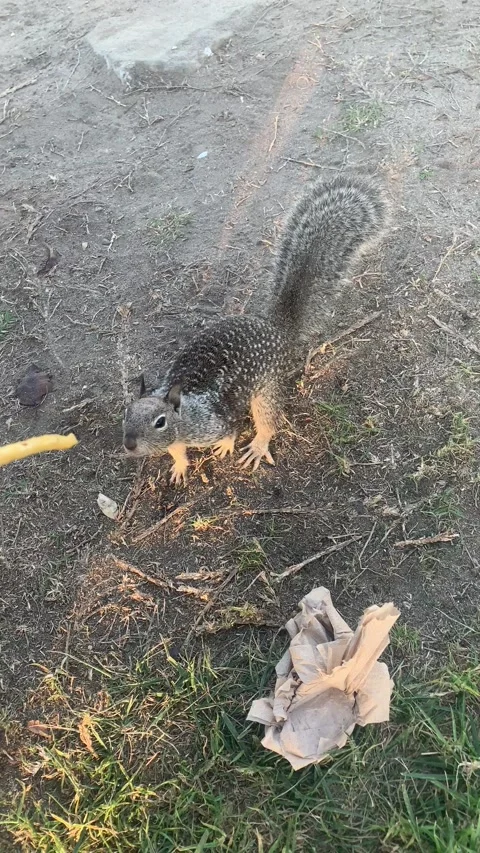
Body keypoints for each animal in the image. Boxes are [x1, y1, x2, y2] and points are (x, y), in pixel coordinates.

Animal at [123, 174, 388, 485]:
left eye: (160, 422)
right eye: (126, 413)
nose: (129, 444)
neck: (186, 414)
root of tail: (275, 329)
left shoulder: (217, 422)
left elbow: (231, 431)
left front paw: (226, 446)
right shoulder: (176, 440)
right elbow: (177, 452)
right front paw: (179, 466)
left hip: (267, 388)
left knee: (268, 419)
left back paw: (259, 445)